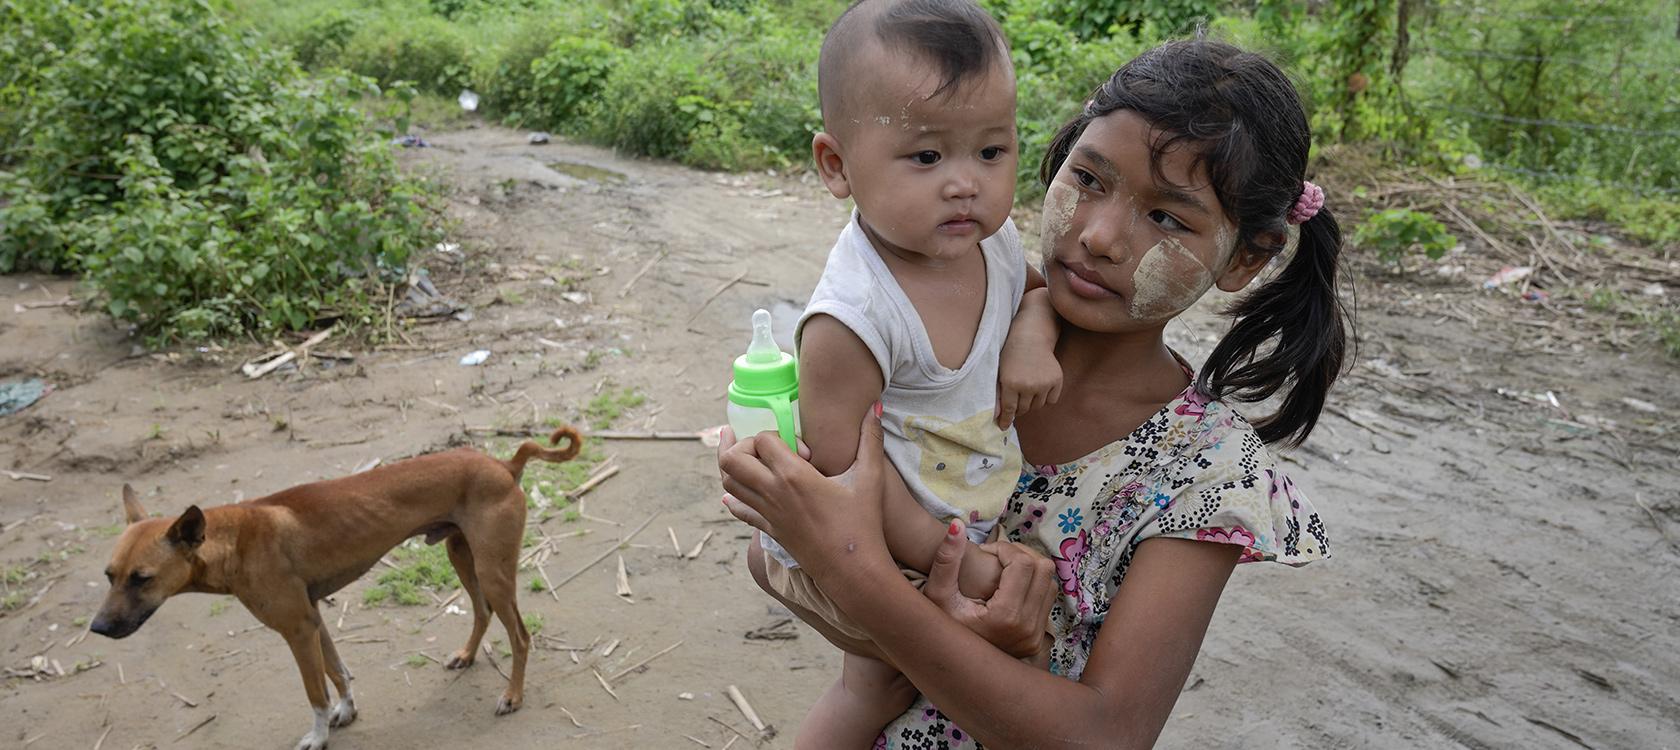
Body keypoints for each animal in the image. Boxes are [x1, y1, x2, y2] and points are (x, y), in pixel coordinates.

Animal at [91, 427, 581, 750]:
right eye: (109, 575)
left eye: (142, 578)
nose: (97, 628)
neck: (233, 540)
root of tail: (505, 464)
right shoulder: (313, 619)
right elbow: (338, 671)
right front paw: (346, 711)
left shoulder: (296, 629)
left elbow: (315, 692)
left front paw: (318, 734)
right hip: (464, 558)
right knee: (482, 611)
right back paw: (466, 655)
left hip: (494, 572)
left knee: (520, 635)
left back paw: (512, 696)